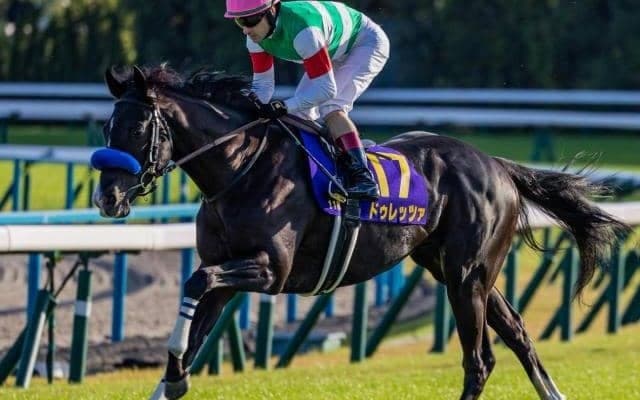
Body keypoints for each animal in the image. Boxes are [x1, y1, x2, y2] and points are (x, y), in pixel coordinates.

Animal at [92, 65, 629, 400]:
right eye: (106, 128)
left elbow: (195, 281)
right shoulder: (227, 270)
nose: (106, 199)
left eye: (138, 129)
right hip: (459, 271)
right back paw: (552, 392)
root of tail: (497, 165)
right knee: (517, 335)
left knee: (479, 360)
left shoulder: (270, 271)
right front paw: (173, 379)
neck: (241, 168)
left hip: (467, 276)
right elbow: (196, 318)